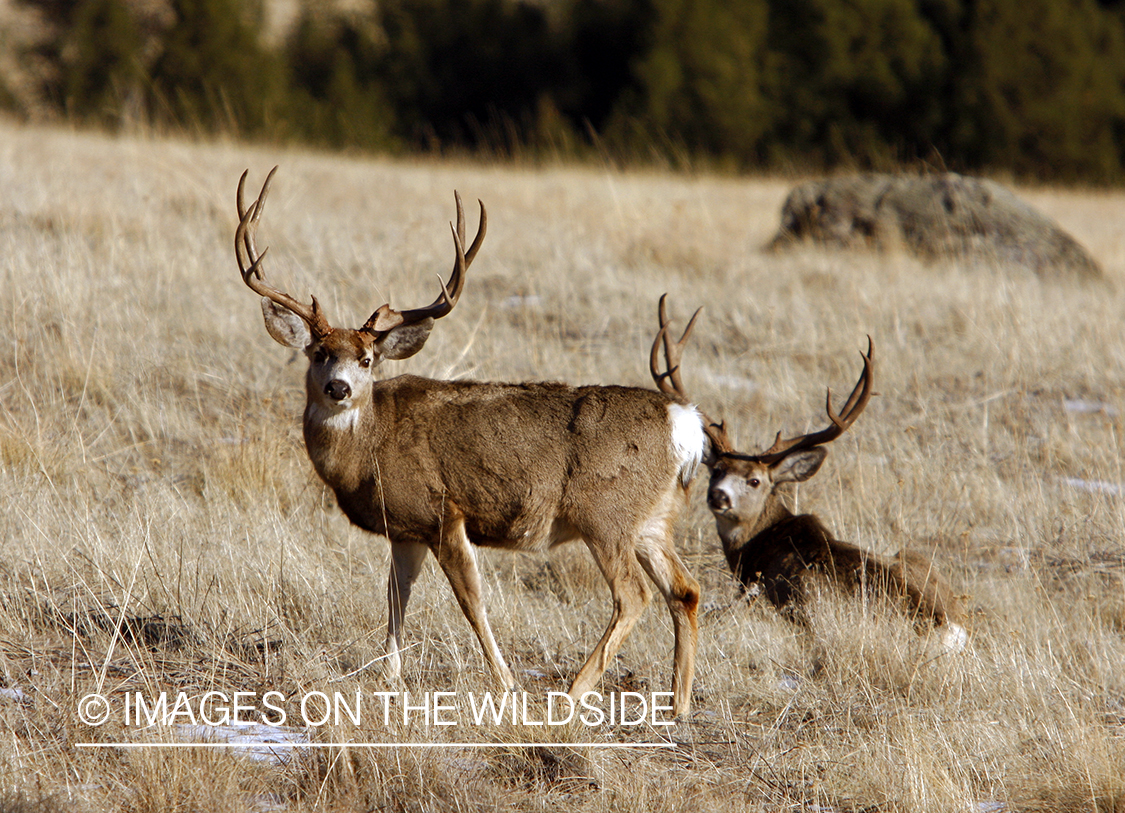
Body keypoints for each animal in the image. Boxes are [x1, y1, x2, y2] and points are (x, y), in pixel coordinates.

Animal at [234, 168, 706, 716]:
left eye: (367, 359)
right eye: (318, 353)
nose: (339, 388)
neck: (369, 449)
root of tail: (685, 422)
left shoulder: (444, 512)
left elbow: (471, 601)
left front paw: (506, 684)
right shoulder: (406, 527)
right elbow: (396, 596)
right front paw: (389, 678)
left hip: (605, 512)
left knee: (633, 595)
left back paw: (572, 694)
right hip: (651, 520)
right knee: (686, 591)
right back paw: (679, 705)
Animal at [650, 297, 967, 653]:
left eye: (755, 480)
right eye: (716, 470)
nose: (718, 495)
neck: (760, 543)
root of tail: (945, 626)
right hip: (915, 559)